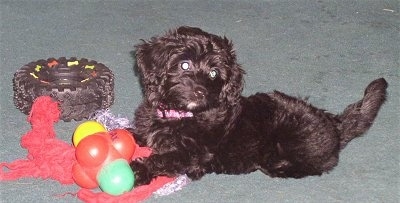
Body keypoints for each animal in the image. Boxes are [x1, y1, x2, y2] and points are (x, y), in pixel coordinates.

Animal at [129, 26, 388, 186]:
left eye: (214, 73)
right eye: (184, 65)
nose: (200, 91)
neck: (181, 114)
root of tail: (335, 124)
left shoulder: (195, 153)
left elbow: (165, 159)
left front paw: (137, 170)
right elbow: (136, 135)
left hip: (291, 140)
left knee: (320, 164)